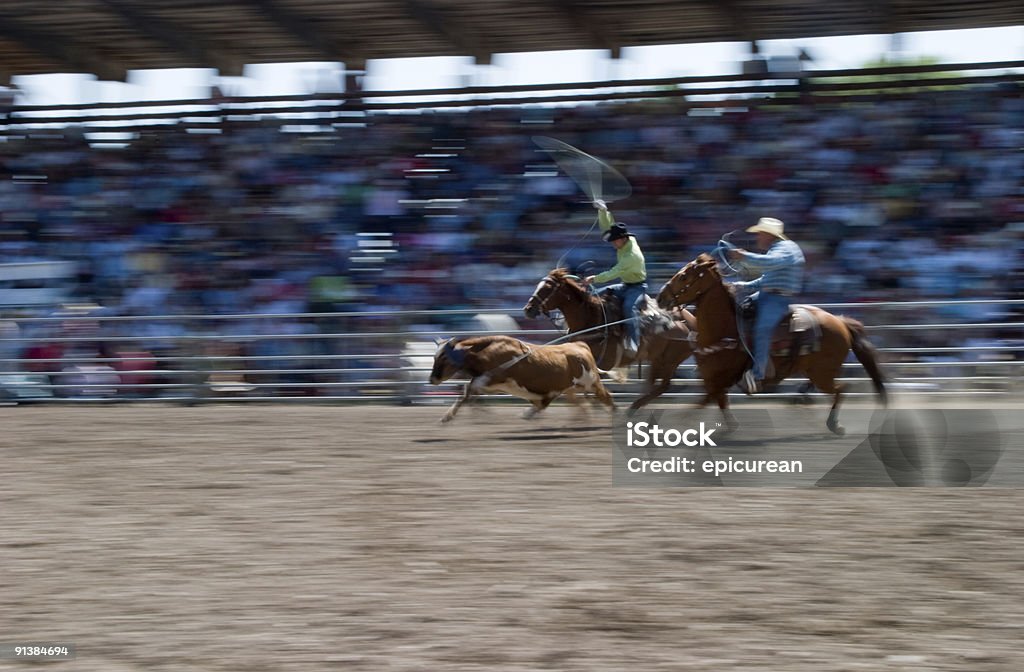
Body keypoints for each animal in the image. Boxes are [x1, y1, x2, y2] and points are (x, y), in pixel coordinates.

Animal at [425, 333, 610, 422]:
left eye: (444, 358)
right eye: (435, 357)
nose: (432, 379)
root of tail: (580, 345)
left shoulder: (492, 377)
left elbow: (468, 388)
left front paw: (448, 416)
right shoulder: (492, 384)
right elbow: (467, 393)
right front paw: (448, 416)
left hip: (592, 382)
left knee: (606, 398)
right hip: (569, 388)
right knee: (567, 403)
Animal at [528, 268, 696, 409]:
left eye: (547, 288)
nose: (528, 309)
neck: (593, 320)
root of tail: (687, 319)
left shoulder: (601, 365)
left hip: (669, 360)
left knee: (663, 386)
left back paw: (632, 408)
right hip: (657, 359)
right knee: (653, 384)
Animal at [655, 253, 888, 436]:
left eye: (684, 276)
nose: (660, 297)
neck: (724, 329)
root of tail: (839, 321)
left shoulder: (720, 380)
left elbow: (700, 403)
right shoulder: (712, 379)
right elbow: (718, 402)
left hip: (823, 373)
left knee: (841, 389)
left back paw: (834, 424)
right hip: (814, 370)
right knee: (825, 387)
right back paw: (803, 399)